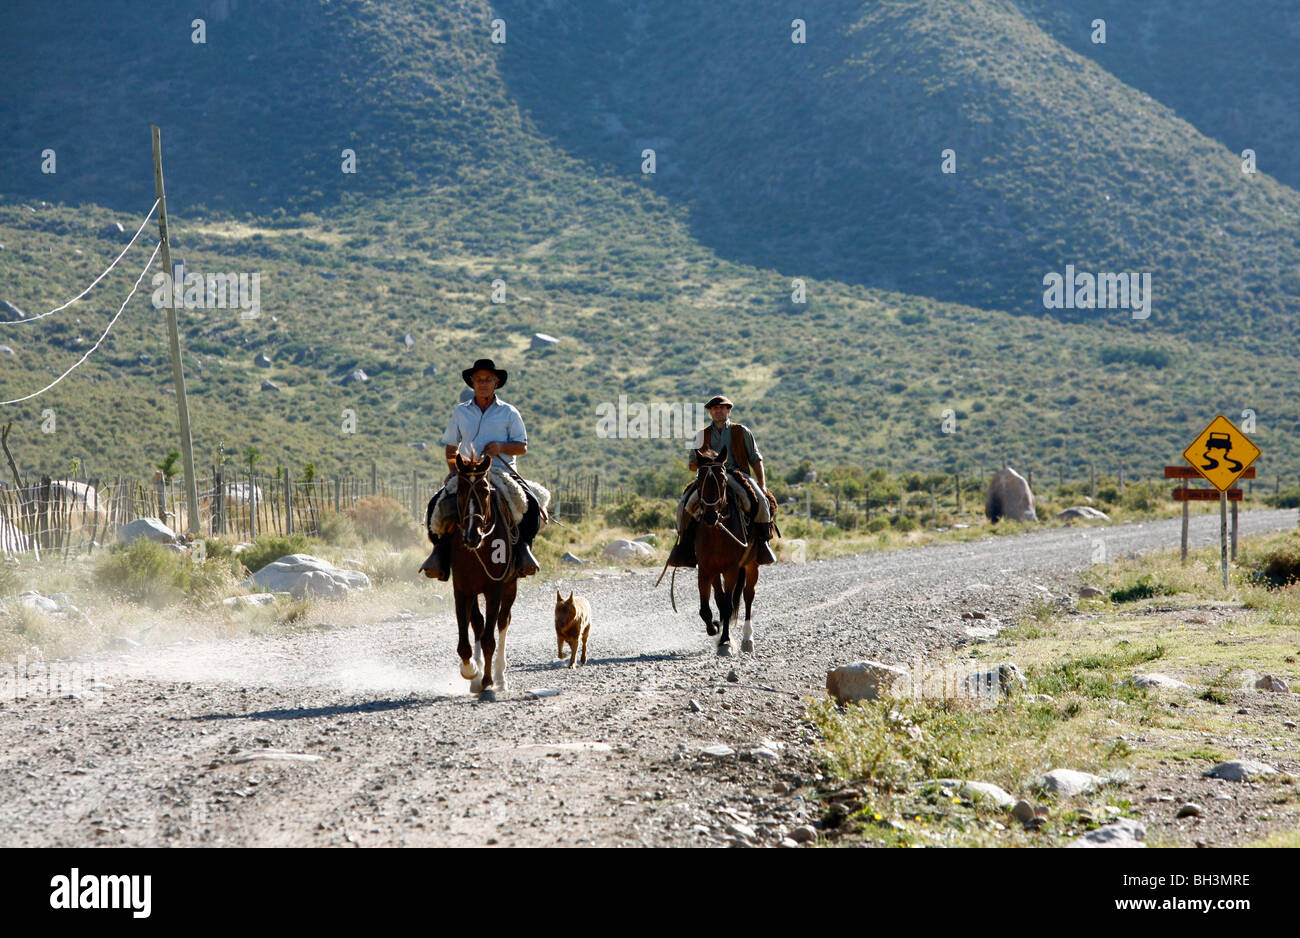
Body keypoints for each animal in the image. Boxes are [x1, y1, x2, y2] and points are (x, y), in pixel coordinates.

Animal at [428, 449, 525, 696]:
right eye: (461, 491)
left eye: (484, 490)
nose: (473, 535)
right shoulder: (463, 590)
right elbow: (467, 638)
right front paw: (471, 671)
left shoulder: (494, 589)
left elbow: (490, 638)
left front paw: (488, 681)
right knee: (479, 625)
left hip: (510, 587)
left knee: (502, 622)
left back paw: (499, 677)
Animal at [696, 444, 759, 649]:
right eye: (698, 479)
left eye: (723, 479)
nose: (710, 516)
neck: (717, 533)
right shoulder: (705, 569)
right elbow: (706, 608)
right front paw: (714, 628)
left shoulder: (732, 569)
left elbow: (729, 604)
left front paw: (725, 640)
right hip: (717, 571)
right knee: (720, 598)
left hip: (751, 565)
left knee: (748, 595)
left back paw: (747, 638)